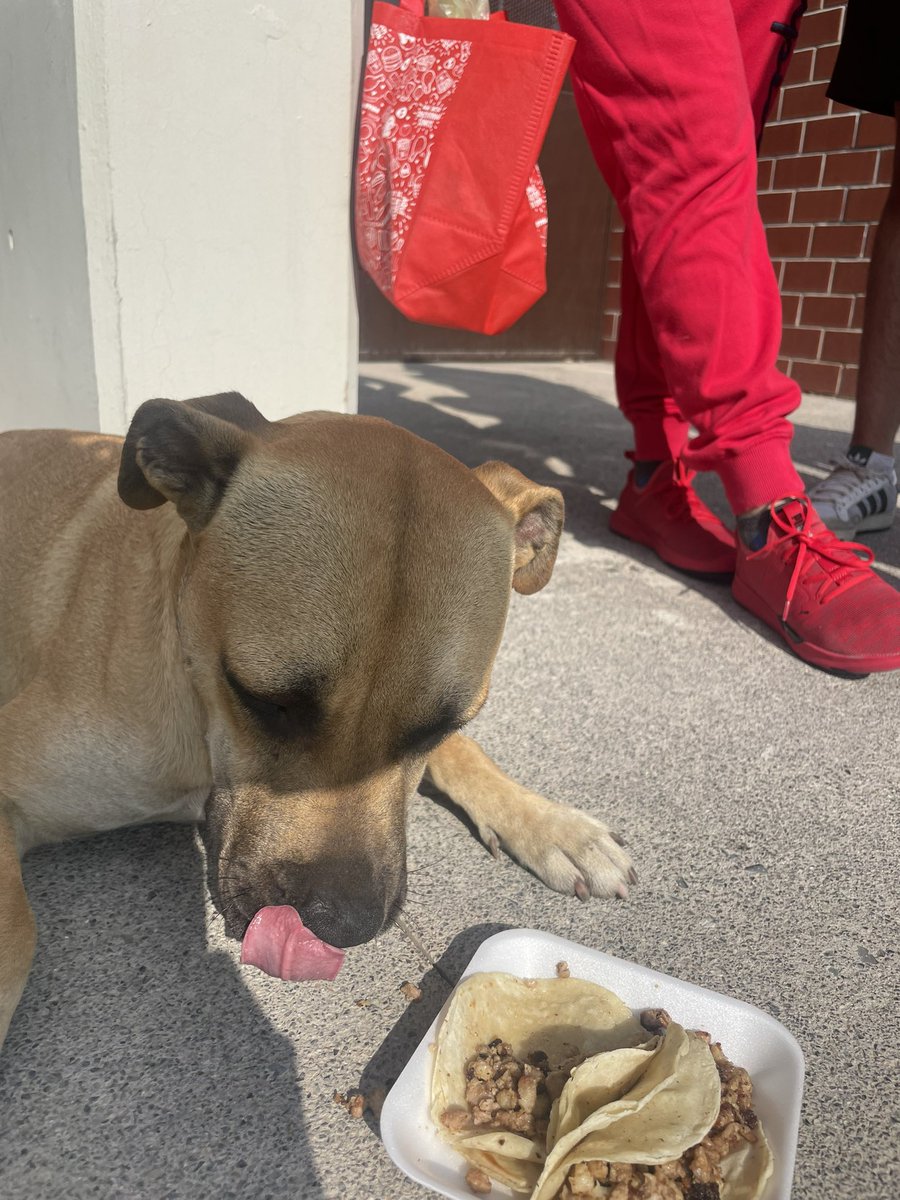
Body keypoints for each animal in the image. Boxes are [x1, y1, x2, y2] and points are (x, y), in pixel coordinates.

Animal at [0, 396, 633, 1051]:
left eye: (436, 726)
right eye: (263, 700)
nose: (341, 923)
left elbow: (464, 751)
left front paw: (553, 825)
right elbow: (17, 930)